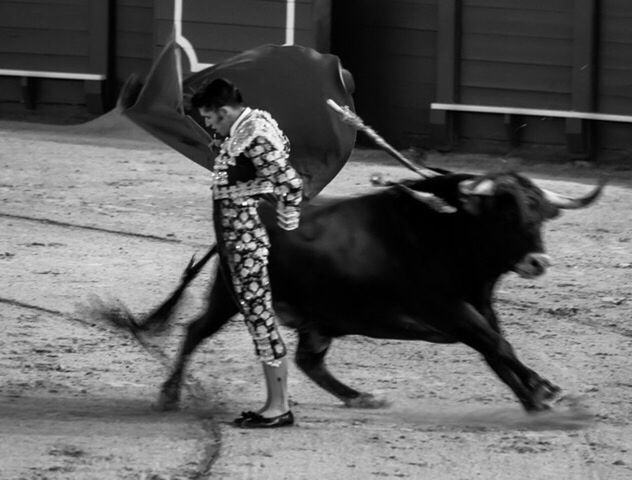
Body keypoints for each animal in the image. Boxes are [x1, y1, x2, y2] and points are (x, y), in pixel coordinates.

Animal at [102, 172, 604, 412]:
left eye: (539, 213)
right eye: (504, 212)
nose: (538, 262)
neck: (446, 233)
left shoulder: (479, 307)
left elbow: (499, 351)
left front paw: (536, 396)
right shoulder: (450, 310)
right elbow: (499, 346)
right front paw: (544, 391)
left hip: (318, 317)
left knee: (308, 361)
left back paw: (360, 397)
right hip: (233, 297)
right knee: (195, 331)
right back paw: (169, 395)